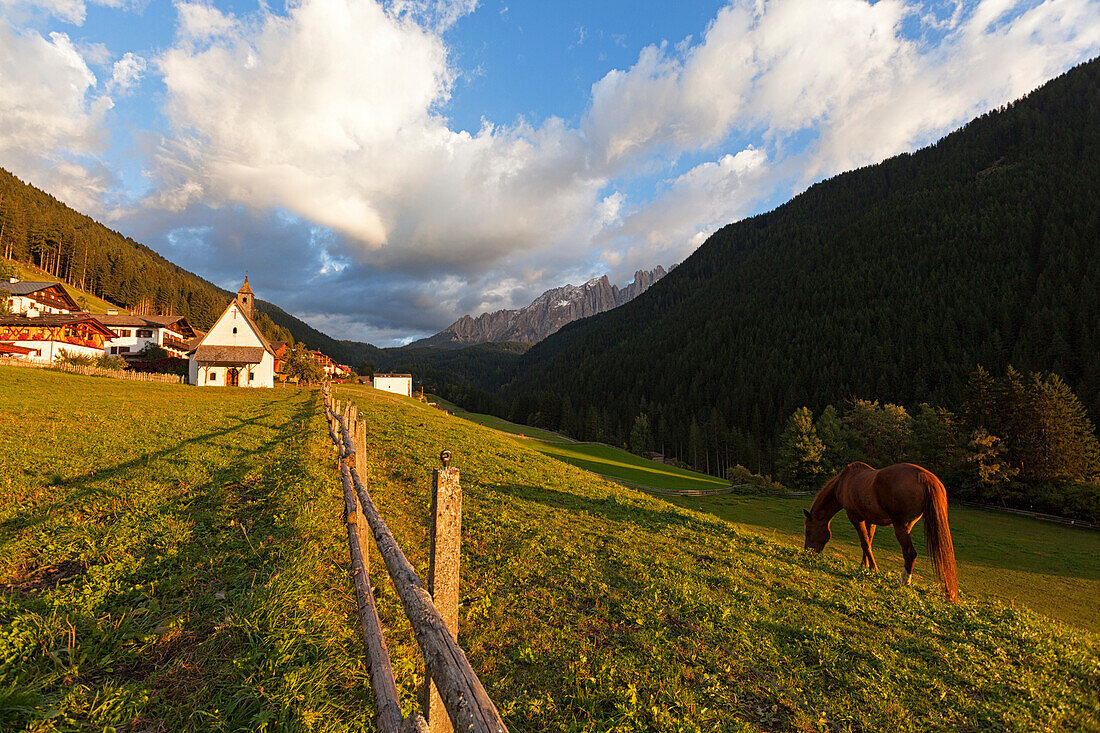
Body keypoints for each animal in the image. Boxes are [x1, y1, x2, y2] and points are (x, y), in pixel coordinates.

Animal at [805, 462, 959, 598]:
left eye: (808, 531)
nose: (807, 552)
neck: (843, 482)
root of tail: (925, 477)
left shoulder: (855, 517)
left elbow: (865, 543)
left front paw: (874, 569)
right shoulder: (869, 520)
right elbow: (868, 542)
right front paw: (864, 565)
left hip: (901, 527)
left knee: (910, 553)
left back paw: (905, 581)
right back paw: (948, 592)